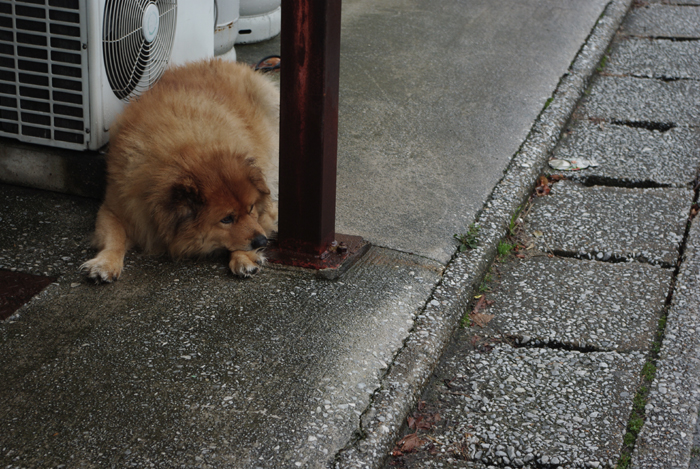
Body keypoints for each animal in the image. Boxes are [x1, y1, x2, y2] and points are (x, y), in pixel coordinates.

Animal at [81, 59, 279, 282]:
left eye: (251, 208)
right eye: (227, 219)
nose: (262, 241)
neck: (188, 151)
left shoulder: (267, 208)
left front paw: (243, 257)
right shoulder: (116, 209)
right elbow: (114, 238)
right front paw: (105, 262)